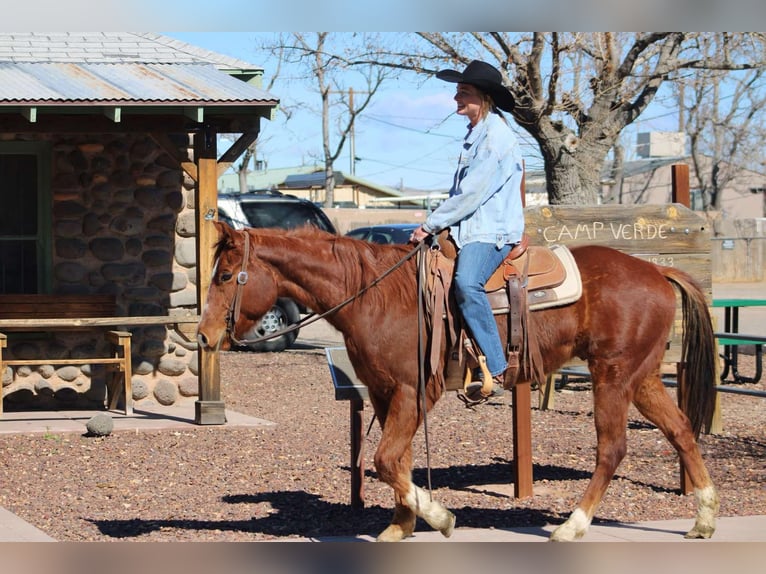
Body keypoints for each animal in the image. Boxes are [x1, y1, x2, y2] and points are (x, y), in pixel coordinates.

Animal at [197, 220, 720, 542]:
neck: (374, 294)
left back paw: (572, 525)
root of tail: (657, 269)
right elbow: (399, 461)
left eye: (224, 275)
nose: (203, 336)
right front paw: (401, 525)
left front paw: (440, 517)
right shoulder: (387, 395)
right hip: (642, 377)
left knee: (612, 448)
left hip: (612, 375)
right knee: (681, 431)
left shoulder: (415, 392)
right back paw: (704, 518)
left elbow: (385, 461)